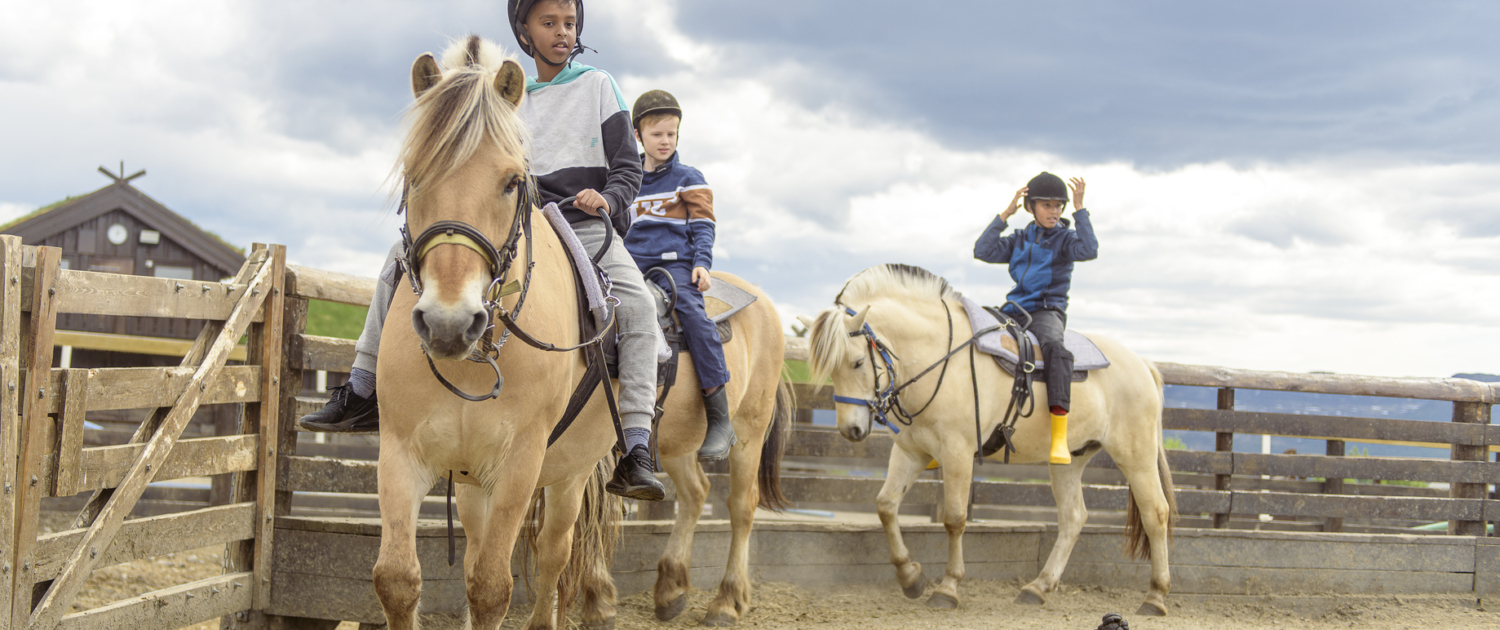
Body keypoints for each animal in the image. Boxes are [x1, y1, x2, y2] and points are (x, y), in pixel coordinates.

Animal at [804, 264, 1176, 615]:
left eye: (857, 362)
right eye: (832, 369)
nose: (850, 430)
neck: (941, 356)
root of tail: (1142, 364)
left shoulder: (957, 453)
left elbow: (954, 518)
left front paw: (947, 588)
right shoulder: (911, 451)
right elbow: (885, 506)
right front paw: (910, 578)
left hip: (1136, 456)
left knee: (1156, 513)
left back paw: (1156, 597)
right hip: (1069, 461)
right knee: (1074, 518)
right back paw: (1037, 588)